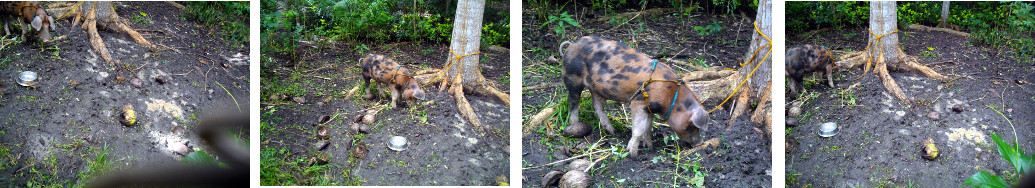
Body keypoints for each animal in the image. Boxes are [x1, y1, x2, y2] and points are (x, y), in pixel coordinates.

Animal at [558, 35, 712, 158]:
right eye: (691, 126)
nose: (700, 143)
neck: (672, 97)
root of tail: (571, 45)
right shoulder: (638, 103)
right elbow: (638, 129)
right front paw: (632, 154)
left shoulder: (649, 108)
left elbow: (648, 128)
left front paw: (650, 147)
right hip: (572, 79)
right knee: (573, 102)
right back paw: (575, 124)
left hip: (596, 89)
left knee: (597, 106)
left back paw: (613, 132)